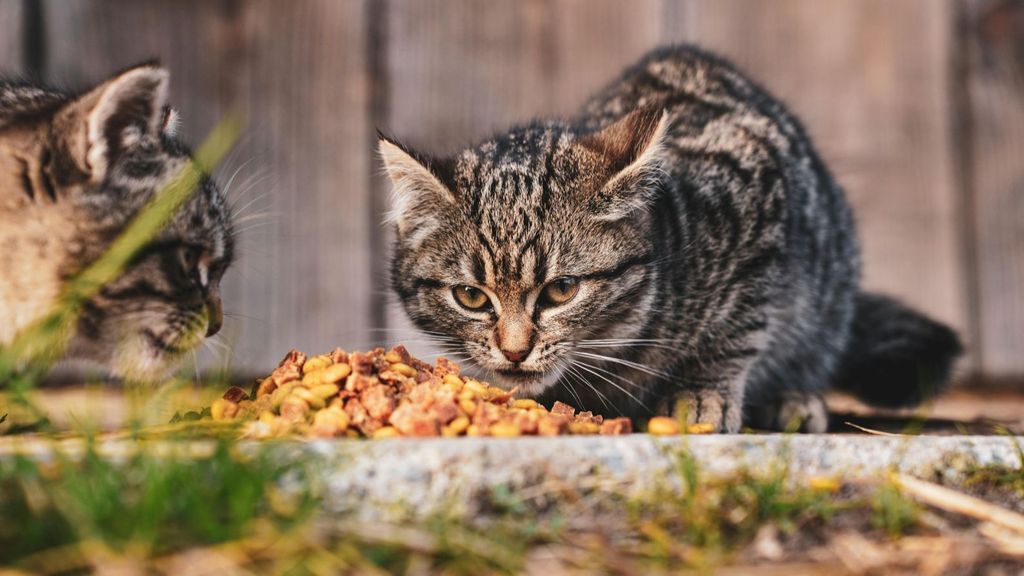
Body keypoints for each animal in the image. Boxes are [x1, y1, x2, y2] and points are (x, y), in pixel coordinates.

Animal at [382, 45, 958, 430]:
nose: (515, 352)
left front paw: (701, 392)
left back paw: (793, 399)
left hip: (828, 288)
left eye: (562, 290)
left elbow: (735, 331)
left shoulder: (760, 207)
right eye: (471, 297)